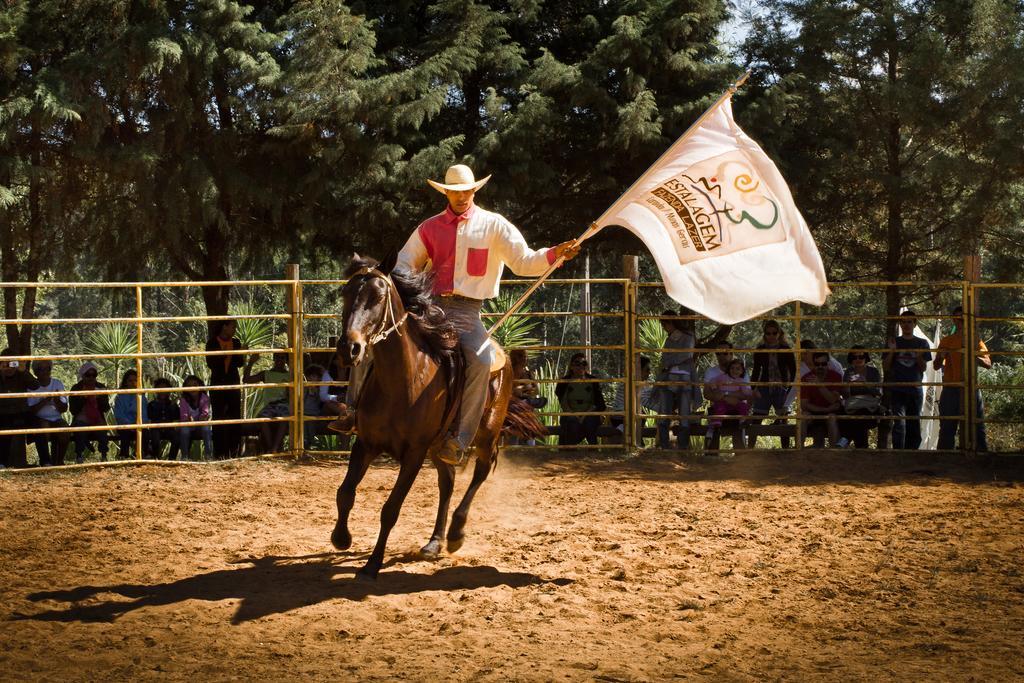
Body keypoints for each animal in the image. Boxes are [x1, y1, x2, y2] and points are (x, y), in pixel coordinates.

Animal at [333, 253, 544, 581]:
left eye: (378, 297)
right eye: (345, 293)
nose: (349, 347)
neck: (402, 381)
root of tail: (504, 357)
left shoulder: (414, 453)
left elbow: (390, 509)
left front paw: (372, 564)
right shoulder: (366, 444)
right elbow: (345, 493)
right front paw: (341, 539)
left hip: (485, 434)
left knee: (480, 472)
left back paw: (456, 533)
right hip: (438, 446)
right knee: (448, 482)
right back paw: (434, 542)